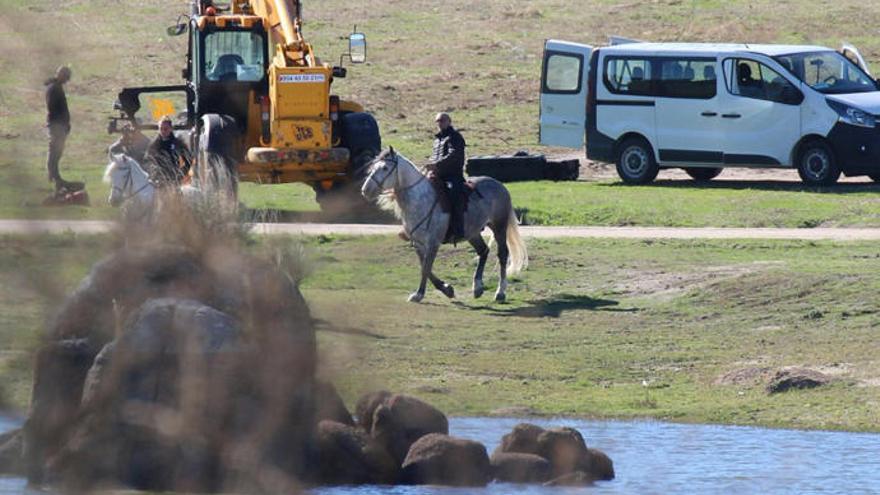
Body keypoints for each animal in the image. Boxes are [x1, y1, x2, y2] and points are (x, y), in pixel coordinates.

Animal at [360, 147, 524, 302]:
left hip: (499, 226)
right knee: (483, 251)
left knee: (502, 255)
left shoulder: (433, 243)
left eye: (385, 168)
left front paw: (419, 294)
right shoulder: (418, 243)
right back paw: (477, 288)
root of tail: (500, 185)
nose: (366, 190)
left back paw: (500, 292)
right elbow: (424, 266)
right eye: (373, 168)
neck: (420, 200)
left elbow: (426, 268)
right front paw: (447, 289)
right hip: (472, 233)